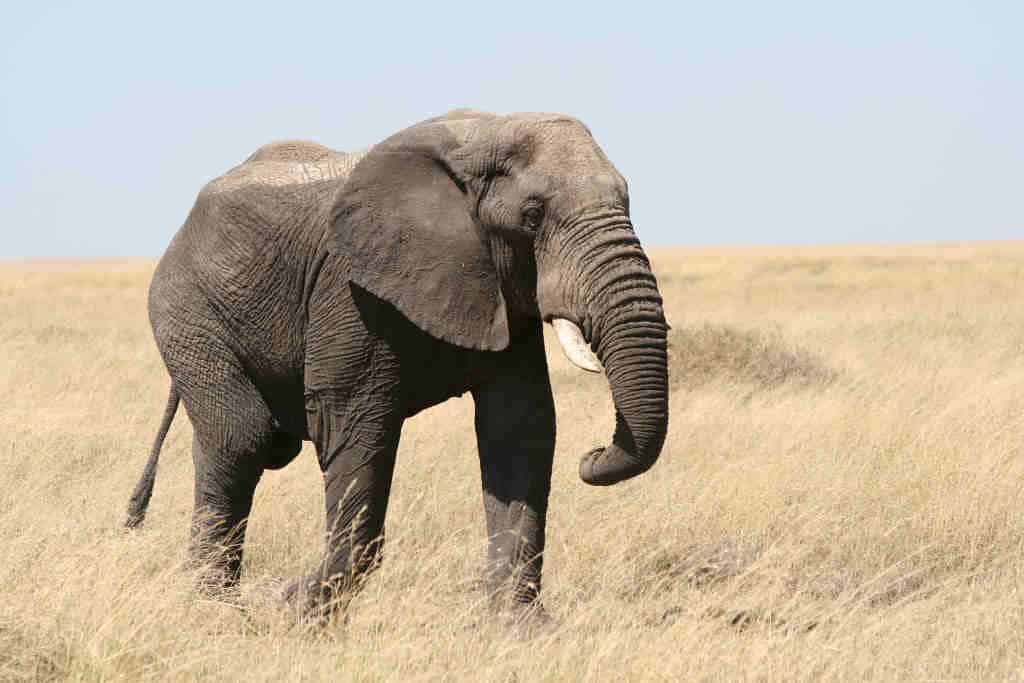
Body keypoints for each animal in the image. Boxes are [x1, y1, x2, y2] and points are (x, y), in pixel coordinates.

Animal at [125, 108, 669, 615]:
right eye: (532, 215)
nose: (593, 455)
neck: (481, 137)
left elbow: (519, 428)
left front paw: (522, 627)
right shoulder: (351, 287)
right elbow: (355, 423)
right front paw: (299, 610)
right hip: (186, 308)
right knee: (241, 436)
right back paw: (214, 607)